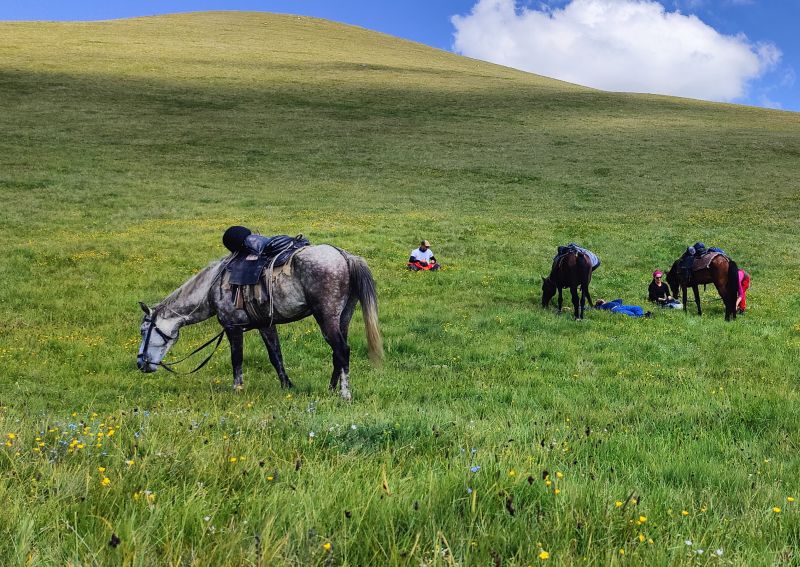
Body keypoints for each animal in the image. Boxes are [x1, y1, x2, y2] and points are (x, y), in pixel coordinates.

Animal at [136, 244, 382, 400]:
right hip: (343, 317)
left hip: (326, 317)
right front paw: (287, 386)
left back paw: (344, 394)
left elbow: (237, 359)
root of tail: (344, 256)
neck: (212, 287)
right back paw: (330, 389)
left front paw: (237, 389)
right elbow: (276, 356)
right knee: (336, 353)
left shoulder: (232, 328)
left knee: (342, 350)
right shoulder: (266, 325)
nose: (140, 364)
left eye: (143, 330)